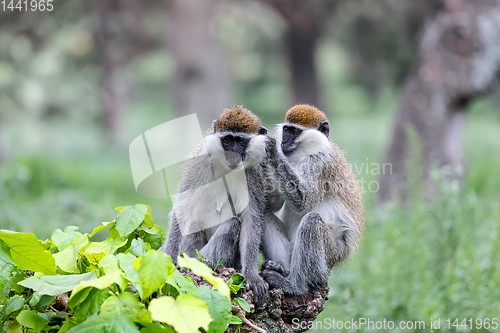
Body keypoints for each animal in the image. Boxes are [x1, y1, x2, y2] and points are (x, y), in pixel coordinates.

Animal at [159, 105, 278, 304]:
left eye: (241, 141)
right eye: (228, 140)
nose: (232, 154)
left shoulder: (254, 173)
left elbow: (251, 220)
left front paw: (252, 276)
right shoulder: (201, 161)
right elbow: (184, 205)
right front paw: (170, 254)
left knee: (233, 224)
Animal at [262, 104, 364, 294]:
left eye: (294, 132)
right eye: (286, 130)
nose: (283, 143)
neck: (306, 153)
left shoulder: (318, 163)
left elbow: (302, 201)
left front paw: (271, 148)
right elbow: (271, 205)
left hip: (330, 254)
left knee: (313, 221)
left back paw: (294, 285)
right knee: (262, 214)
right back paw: (282, 269)